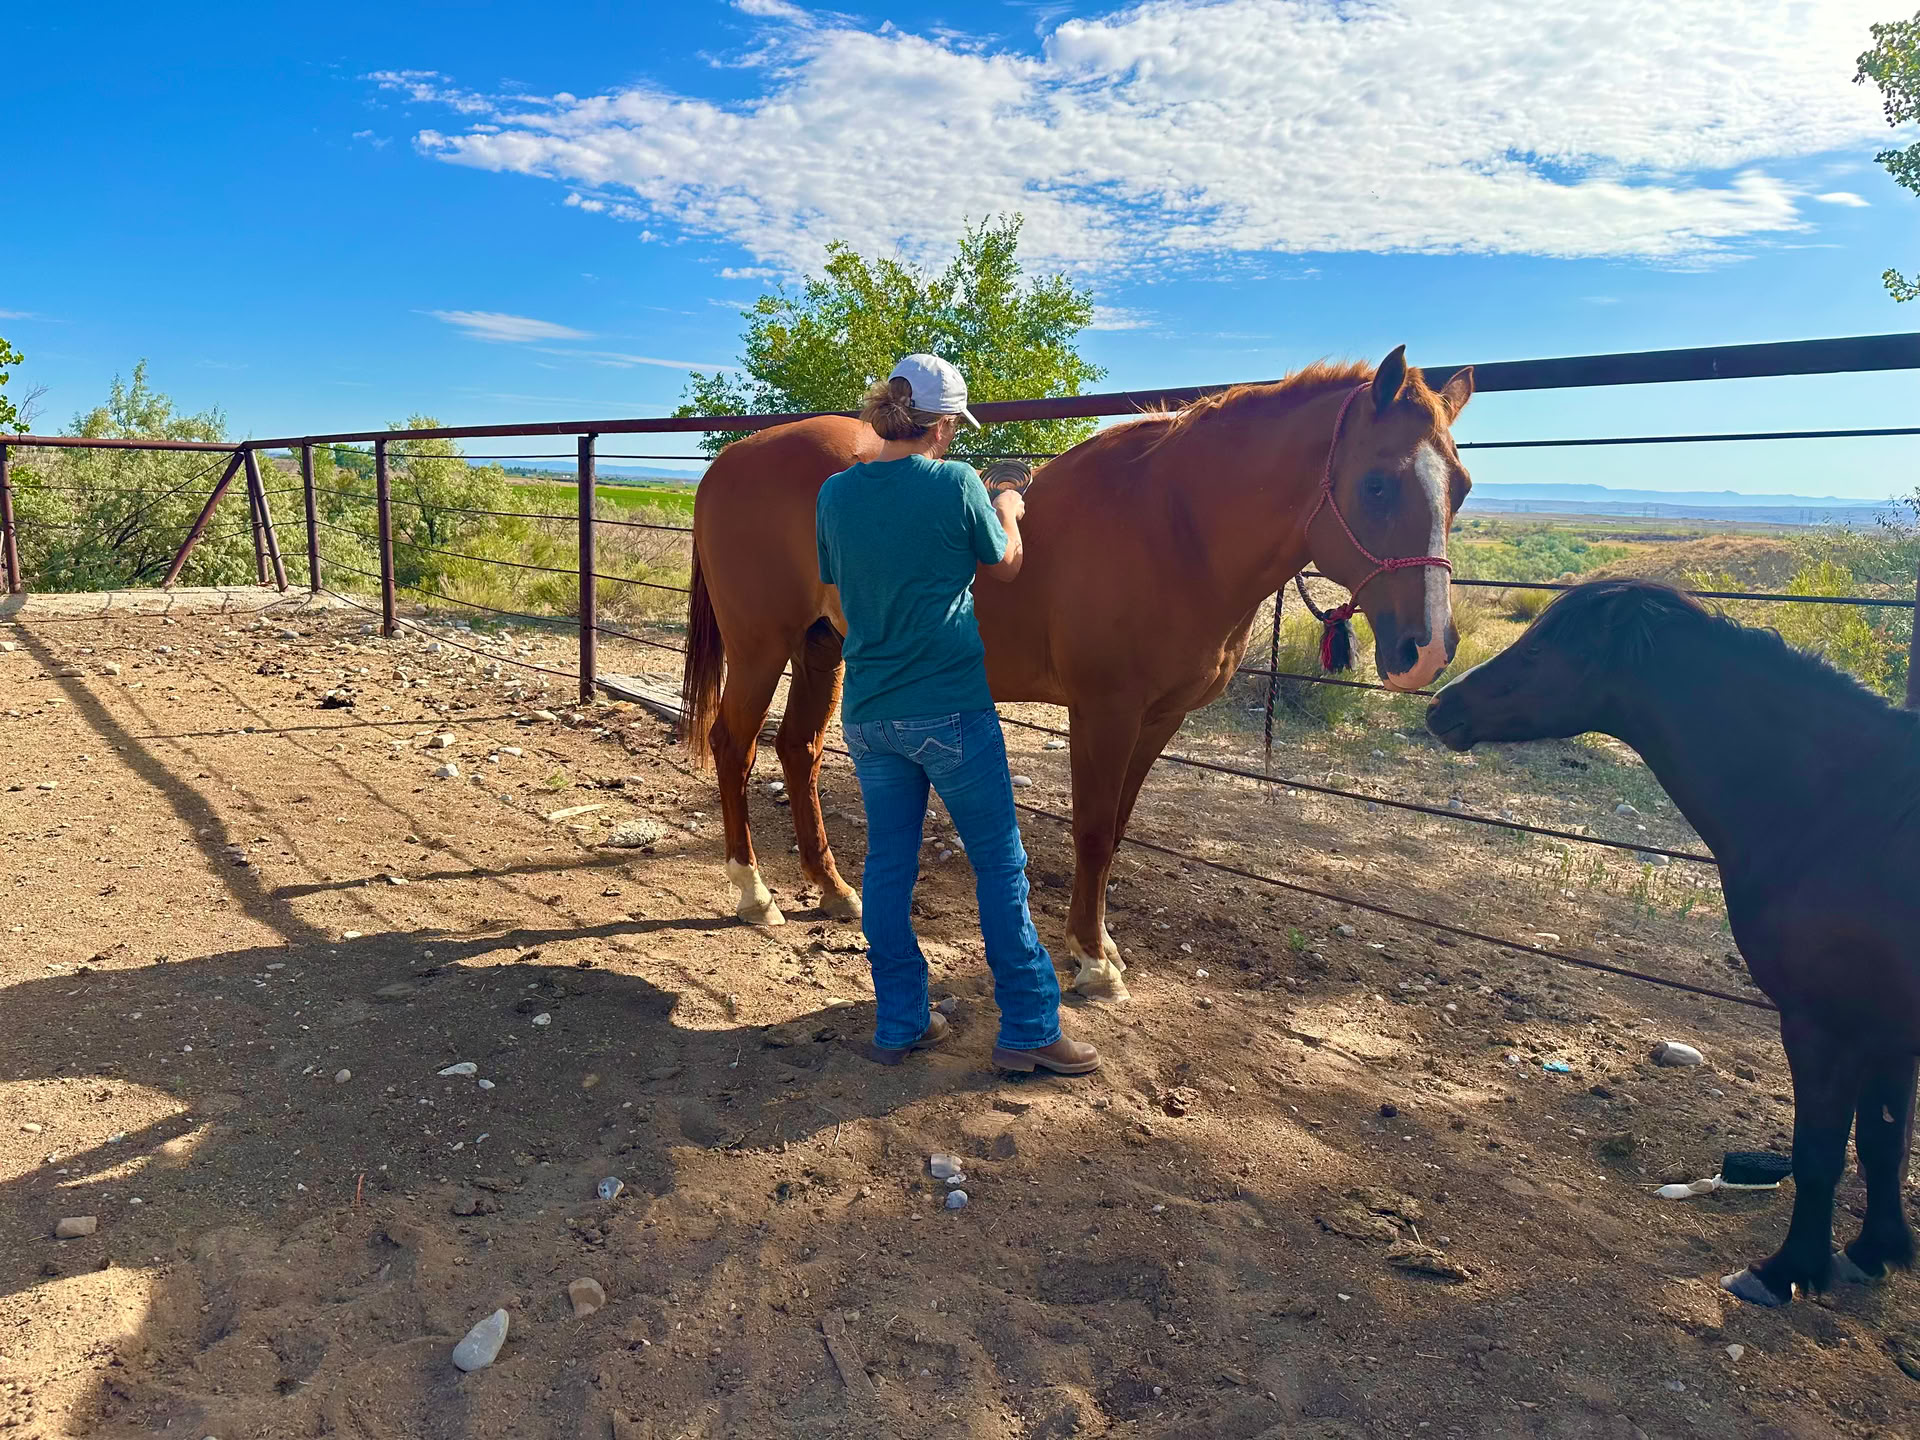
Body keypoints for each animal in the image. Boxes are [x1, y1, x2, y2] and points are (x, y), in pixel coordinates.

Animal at [682, 347, 1475, 999]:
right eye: (1377, 485)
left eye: (1462, 487)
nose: (1428, 651)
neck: (1173, 528)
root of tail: (730, 460)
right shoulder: (1105, 712)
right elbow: (1092, 830)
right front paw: (1094, 962)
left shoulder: (1159, 718)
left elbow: (1116, 829)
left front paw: (1096, 943)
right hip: (762, 647)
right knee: (734, 746)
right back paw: (754, 894)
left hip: (821, 647)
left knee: (799, 750)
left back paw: (834, 889)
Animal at [1425, 579, 1920, 1306]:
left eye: (1540, 647)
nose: (1442, 707)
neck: (1840, 811)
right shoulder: (1884, 1031)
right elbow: (1882, 1143)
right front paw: (1872, 1252)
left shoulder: (1822, 1024)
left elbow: (1821, 1151)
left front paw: (1782, 1272)